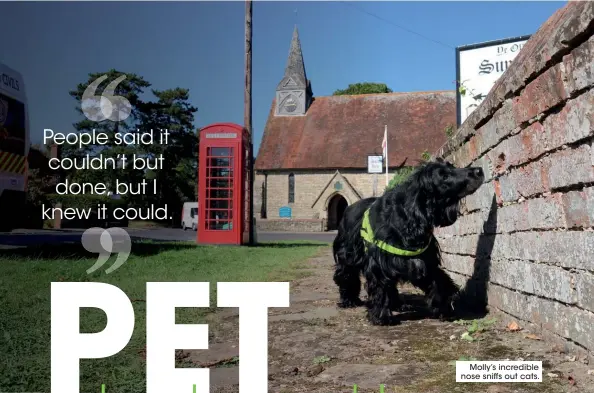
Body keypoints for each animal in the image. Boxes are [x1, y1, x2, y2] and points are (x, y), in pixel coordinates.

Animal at [330, 157, 484, 324]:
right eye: (443, 176)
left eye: (452, 166)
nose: (479, 170)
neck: (408, 216)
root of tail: (348, 208)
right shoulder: (380, 263)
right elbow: (380, 287)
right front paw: (381, 316)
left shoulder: (423, 261)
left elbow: (439, 282)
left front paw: (445, 308)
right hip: (347, 256)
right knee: (346, 276)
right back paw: (349, 300)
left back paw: (398, 304)